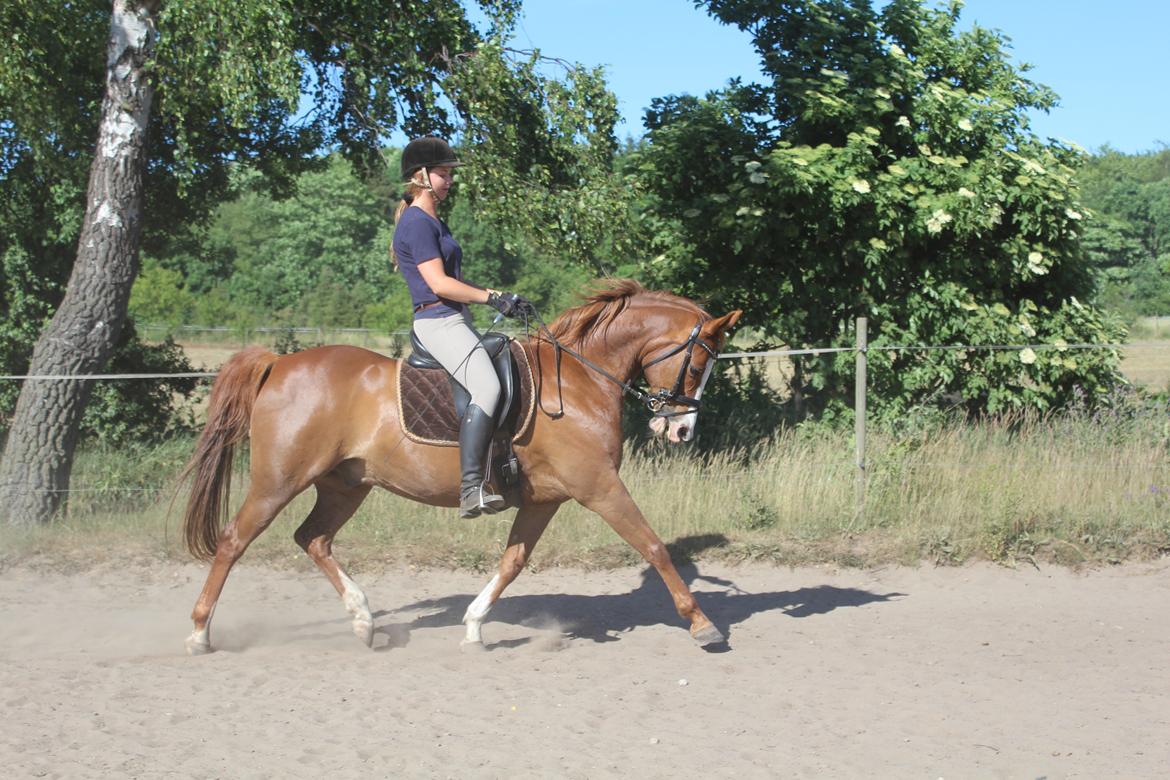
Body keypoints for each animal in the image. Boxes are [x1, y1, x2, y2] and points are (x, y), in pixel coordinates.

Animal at [177, 277, 744, 654]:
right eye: (698, 363)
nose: (681, 431)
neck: (580, 380)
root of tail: (277, 364)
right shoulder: (599, 487)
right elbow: (654, 545)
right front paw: (702, 625)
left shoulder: (546, 499)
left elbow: (513, 562)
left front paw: (473, 625)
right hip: (279, 481)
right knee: (233, 540)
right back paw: (200, 632)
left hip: (345, 485)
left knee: (312, 539)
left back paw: (364, 621)